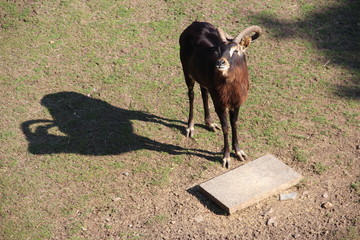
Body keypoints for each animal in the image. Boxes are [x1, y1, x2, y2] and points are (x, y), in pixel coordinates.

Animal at [179, 21, 262, 168]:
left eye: (236, 50)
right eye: (220, 50)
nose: (220, 63)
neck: (231, 86)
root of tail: (194, 24)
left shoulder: (236, 103)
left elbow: (234, 123)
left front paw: (239, 152)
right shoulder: (220, 104)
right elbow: (226, 126)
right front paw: (226, 158)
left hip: (203, 81)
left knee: (204, 93)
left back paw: (210, 123)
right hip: (187, 73)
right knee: (191, 94)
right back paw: (190, 128)